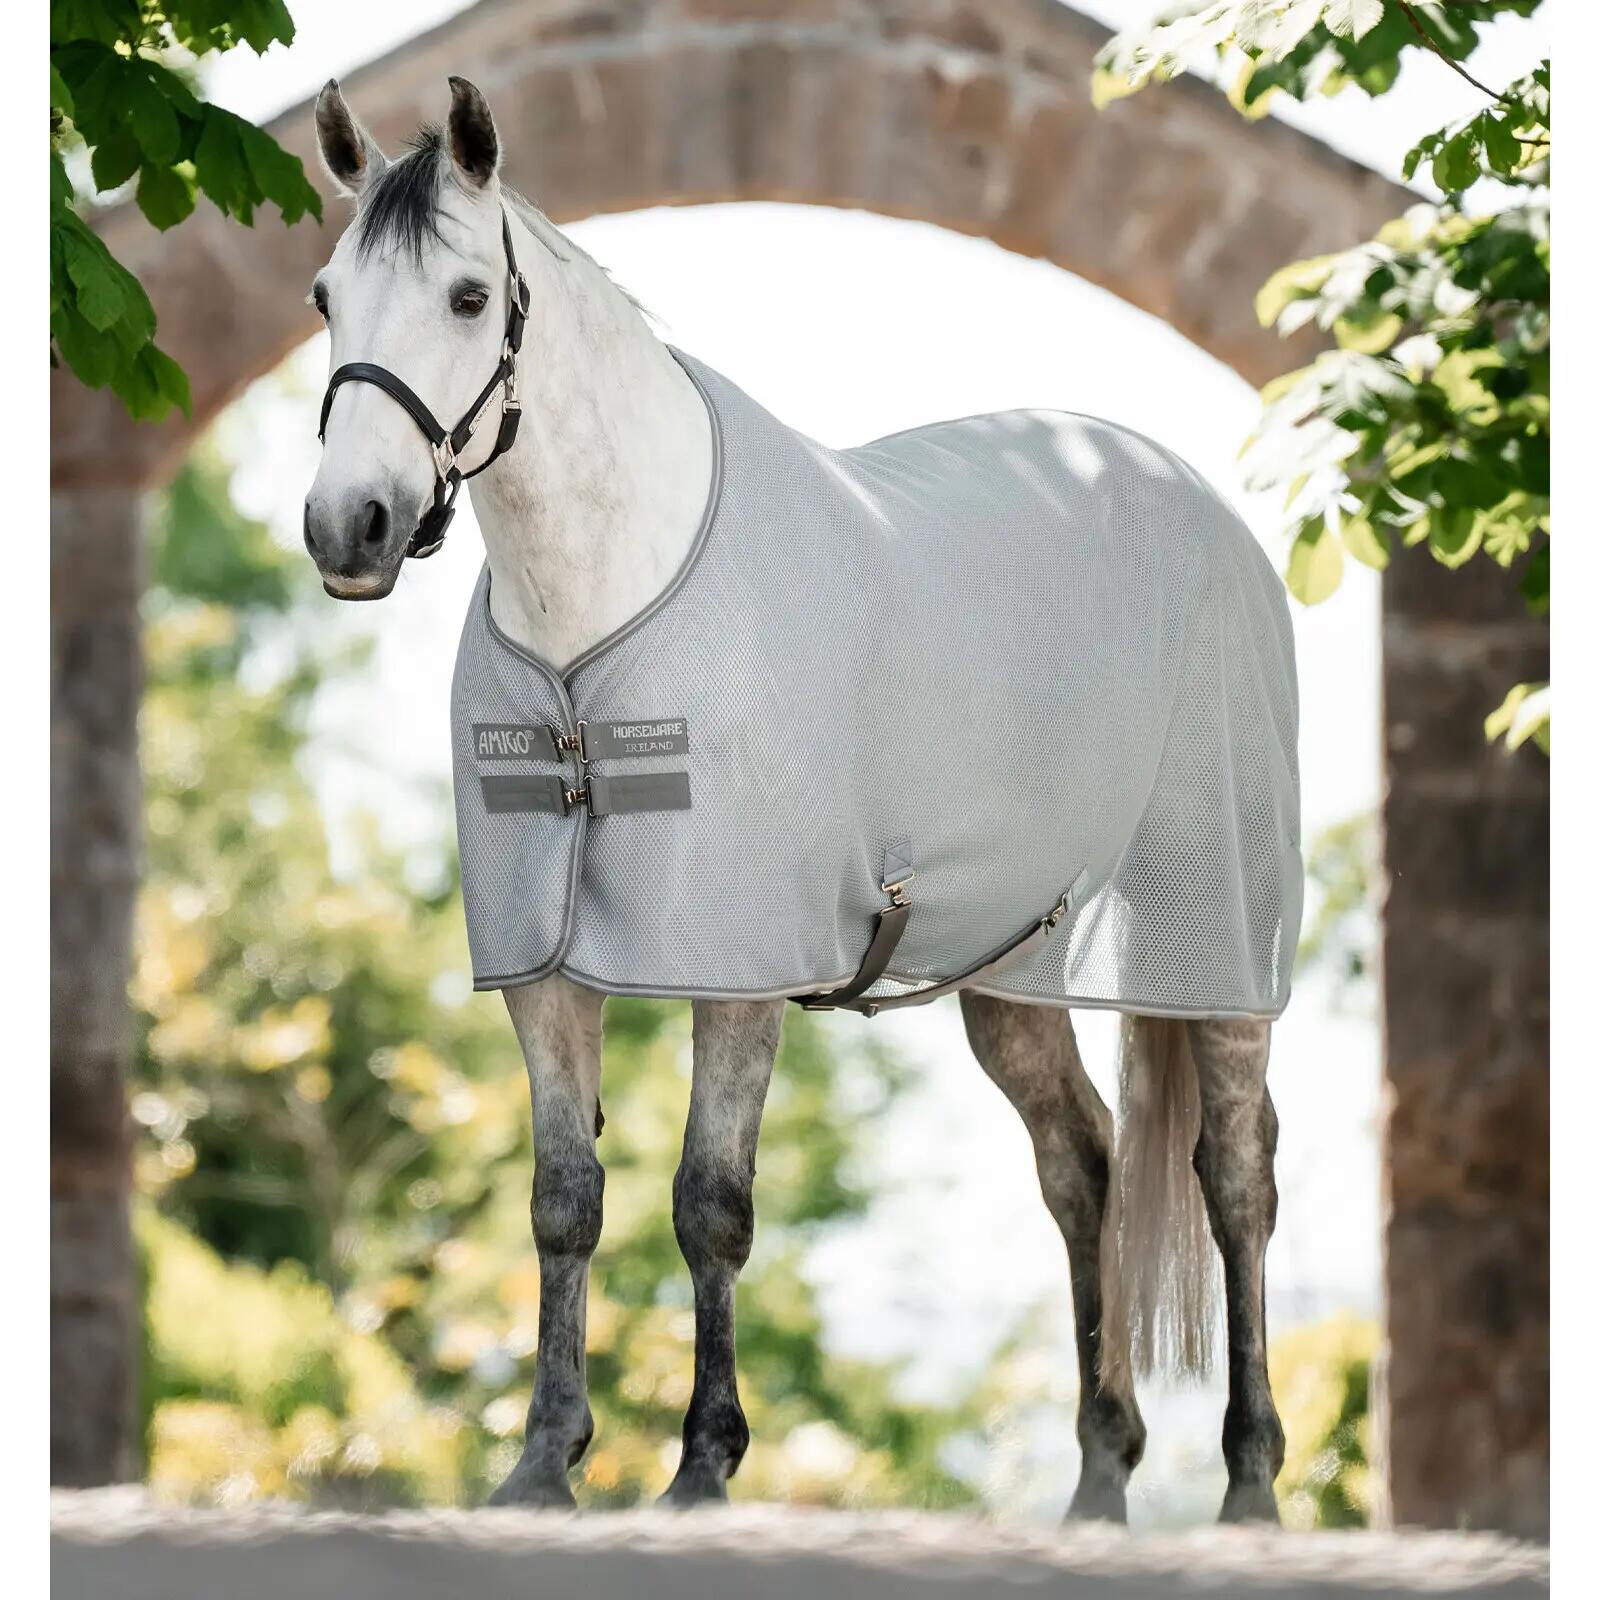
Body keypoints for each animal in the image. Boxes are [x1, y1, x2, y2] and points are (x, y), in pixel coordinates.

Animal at [302, 76, 1291, 1524]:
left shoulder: (738, 965)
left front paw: (704, 1463)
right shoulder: (546, 968)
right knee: (1085, 1168)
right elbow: (563, 1199)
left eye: (471, 297)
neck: (603, 611)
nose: (349, 527)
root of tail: (1189, 501)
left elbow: (710, 1200)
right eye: (324, 295)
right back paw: (1100, 1480)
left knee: (1233, 1176)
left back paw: (1251, 1481)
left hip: (1216, 950)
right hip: (1016, 975)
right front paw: (542, 1464)